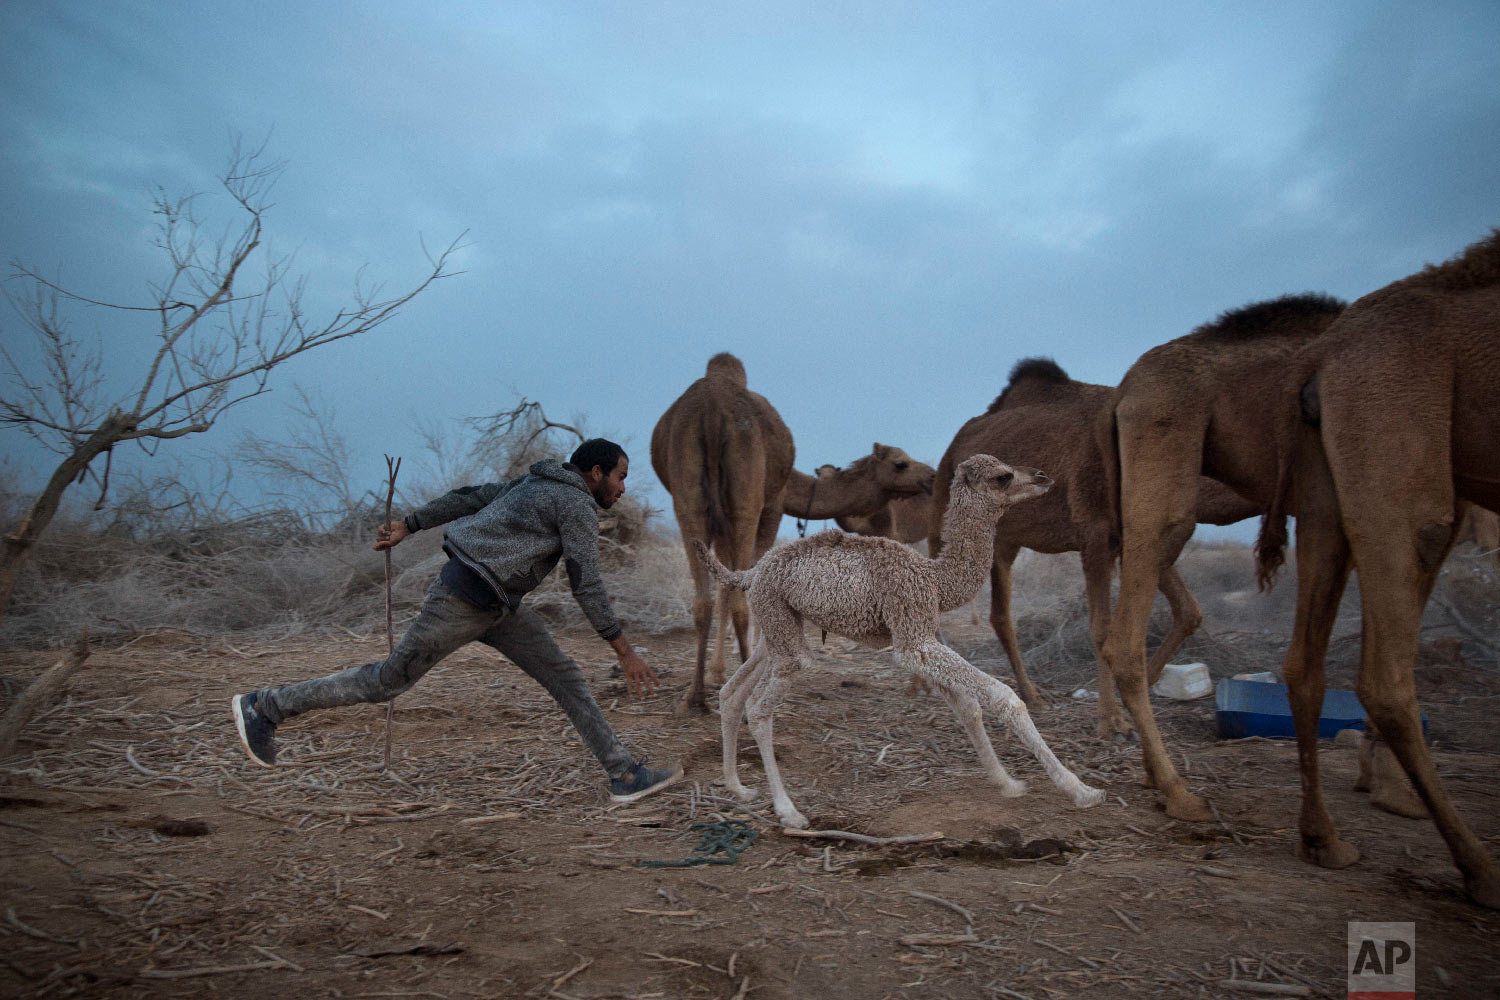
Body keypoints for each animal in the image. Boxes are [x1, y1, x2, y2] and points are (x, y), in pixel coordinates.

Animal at [657, 352, 798, 710]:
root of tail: (712, 409)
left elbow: (721, 587)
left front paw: (716, 672)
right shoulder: (772, 509)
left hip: (688, 500)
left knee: (704, 601)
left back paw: (695, 696)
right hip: (747, 503)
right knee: (740, 600)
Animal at [696, 452, 1110, 827]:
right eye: (1003, 476)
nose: (1042, 476)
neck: (937, 580)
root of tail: (750, 573)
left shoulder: (922, 636)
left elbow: (967, 707)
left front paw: (1007, 783)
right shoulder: (912, 637)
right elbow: (1004, 698)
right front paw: (1081, 790)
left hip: (778, 623)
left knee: (733, 692)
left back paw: (737, 787)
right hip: (782, 628)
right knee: (759, 707)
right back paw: (788, 811)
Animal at [930, 359, 1260, 728]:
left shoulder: (1132, 538)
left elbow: (1189, 610)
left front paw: (1134, 695)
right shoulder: (1095, 533)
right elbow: (1101, 628)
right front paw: (1111, 719)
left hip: (1004, 541)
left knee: (1001, 616)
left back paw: (1032, 695)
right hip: (943, 508)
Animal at [1098, 295, 1356, 821]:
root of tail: (1122, 392)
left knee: (1172, 603)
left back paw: (1149, 764)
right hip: (1165, 471)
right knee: (1128, 631)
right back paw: (1178, 790)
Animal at [1254, 230, 1500, 911]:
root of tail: (1319, 354)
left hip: (1326, 491)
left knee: (1305, 663)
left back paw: (1324, 839)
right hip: (1399, 462)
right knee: (1386, 676)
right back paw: (1479, 868)